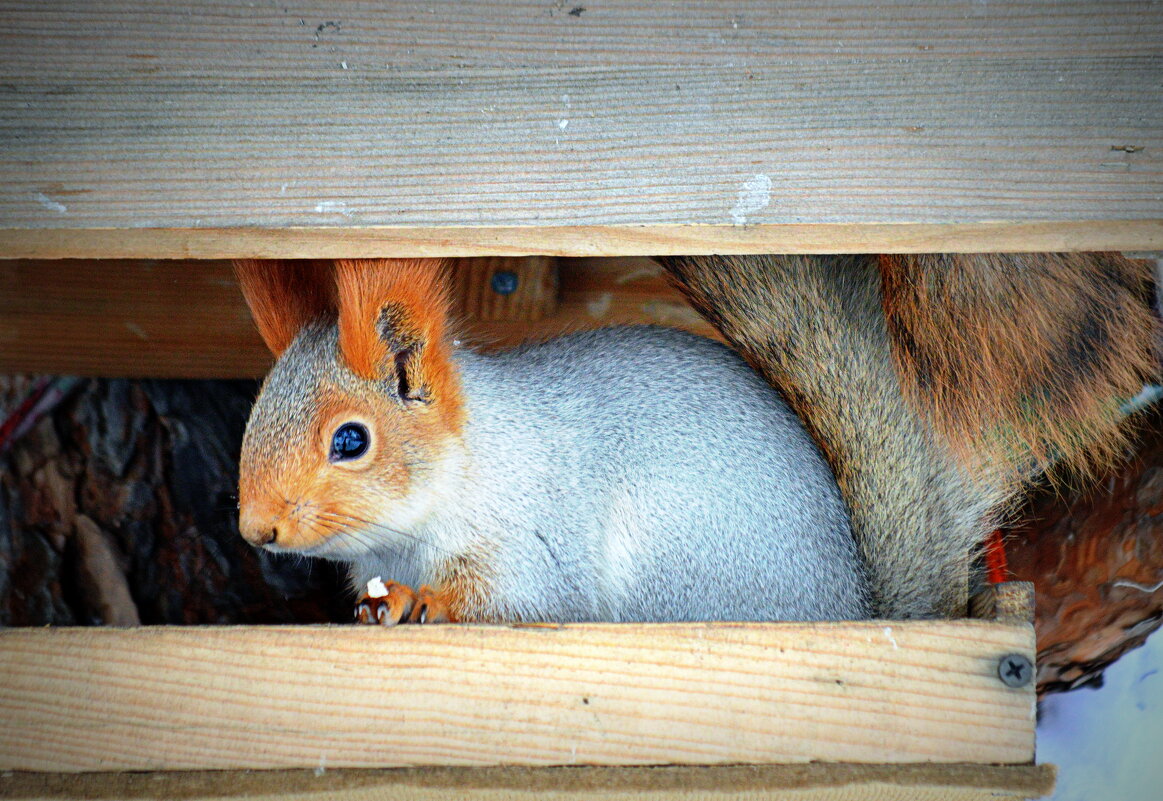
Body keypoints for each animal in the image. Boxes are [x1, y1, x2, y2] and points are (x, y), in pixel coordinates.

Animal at [233, 259, 874, 623]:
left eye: (350, 440)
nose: (255, 530)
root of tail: (855, 604)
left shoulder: (532, 536)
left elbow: (525, 596)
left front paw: (427, 601)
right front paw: (380, 602)